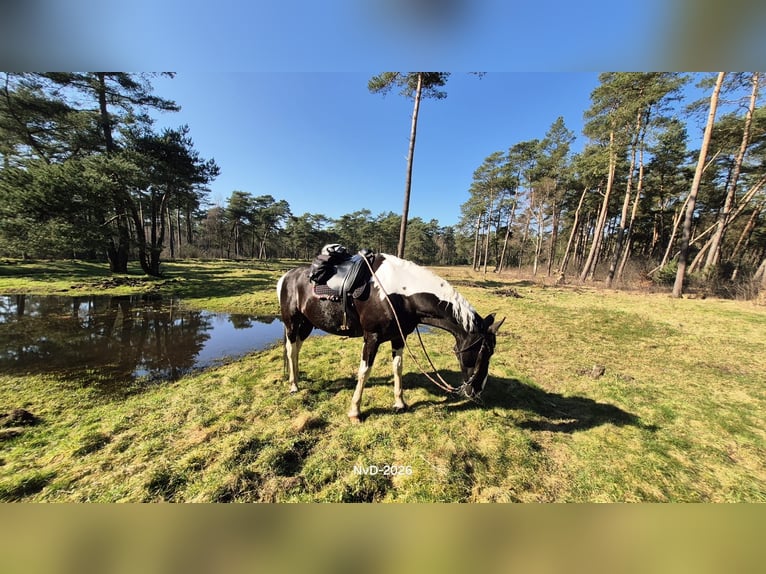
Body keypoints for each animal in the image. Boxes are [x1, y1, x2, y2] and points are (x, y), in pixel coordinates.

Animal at [276, 252, 504, 423]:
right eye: (482, 352)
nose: (477, 391)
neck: (400, 295)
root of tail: (286, 277)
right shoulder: (372, 338)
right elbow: (364, 372)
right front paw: (355, 412)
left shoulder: (399, 338)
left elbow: (398, 367)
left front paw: (399, 403)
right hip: (292, 323)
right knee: (290, 349)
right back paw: (294, 385)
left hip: (307, 325)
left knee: (296, 350)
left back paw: (296, 378)